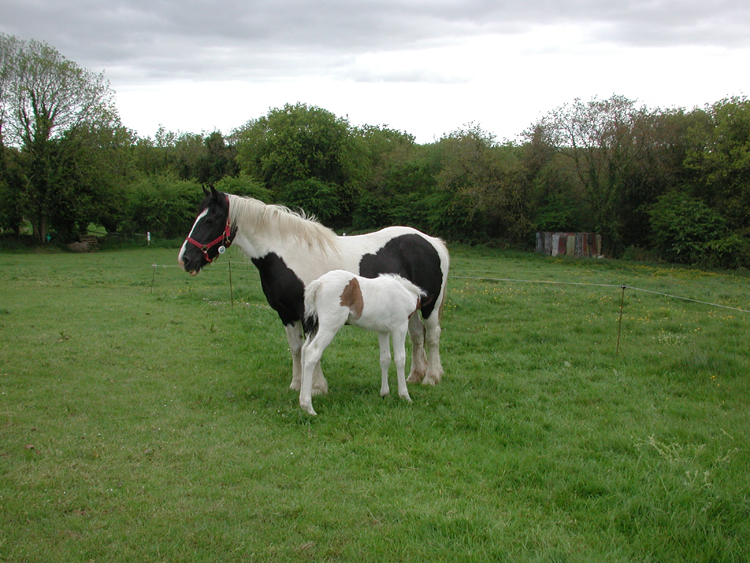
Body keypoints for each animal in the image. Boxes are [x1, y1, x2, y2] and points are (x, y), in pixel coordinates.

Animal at [302, 270, 428, 416]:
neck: (405, 292)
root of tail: (319, 283)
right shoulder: (399, 327)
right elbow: (400, 359)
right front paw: (405, 396)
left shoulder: (383, 331)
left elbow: (385, 358)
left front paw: (385, 393)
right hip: (330, 325)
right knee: (312, 352)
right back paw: (308, 407)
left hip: (315, 327)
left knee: (304, 351)